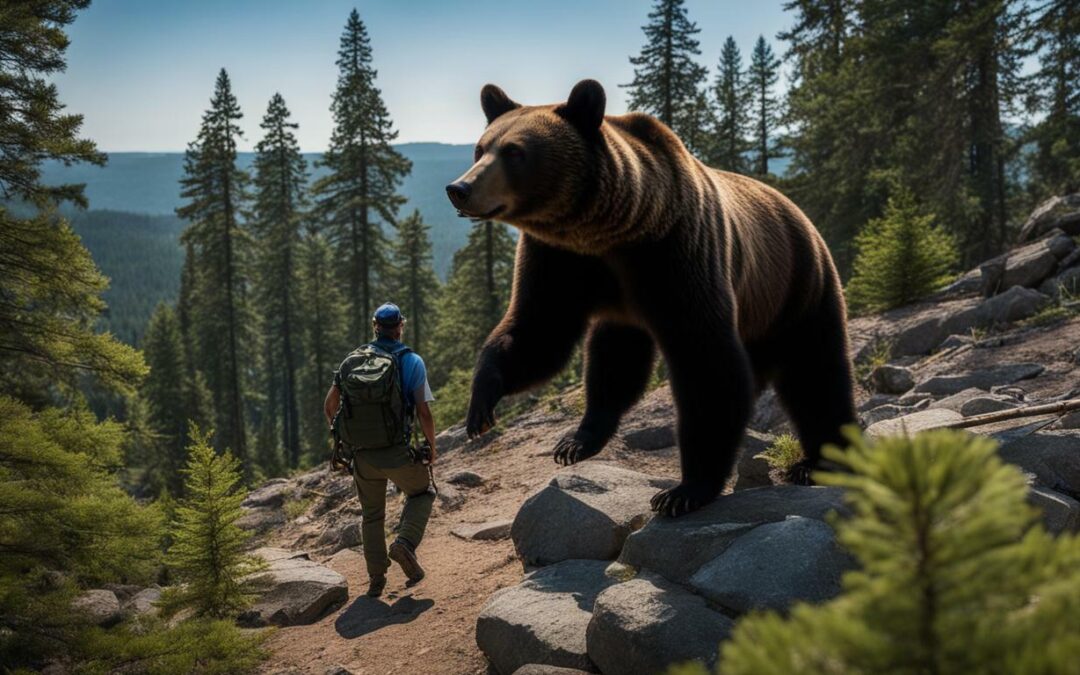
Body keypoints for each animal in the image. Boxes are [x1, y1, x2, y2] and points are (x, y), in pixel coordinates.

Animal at [445, 79, 857, 517]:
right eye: (481, 148)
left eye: (514, 152)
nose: (459, 189)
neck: (610, 230)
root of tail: (800, 213)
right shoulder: (560, 260)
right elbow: (539, 330)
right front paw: (480, 407)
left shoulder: (676, 253)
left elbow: (706, 362)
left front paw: (684, 490)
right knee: (613, 361)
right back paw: (578, 440)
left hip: (797, 287)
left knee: (815, 373)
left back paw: (818, 462)